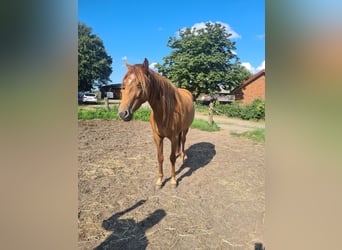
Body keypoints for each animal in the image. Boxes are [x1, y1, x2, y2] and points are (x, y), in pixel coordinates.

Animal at [117, 58, 194, 187]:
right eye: (124, 85)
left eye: (139, 84)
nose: (123, 113)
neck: (165, 112)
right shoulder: (157, 137)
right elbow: (160, 157)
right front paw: (159, 180)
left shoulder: (173, 137)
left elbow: (171, 158)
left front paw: (173, 180)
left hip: (185, 129)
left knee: (183, 141)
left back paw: (182, 156)